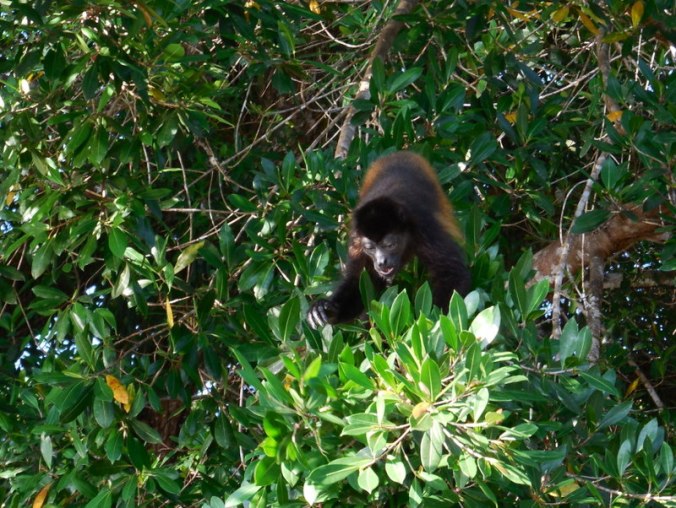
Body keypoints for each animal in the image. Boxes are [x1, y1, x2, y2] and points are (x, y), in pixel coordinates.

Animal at [308, 151, 471, 328]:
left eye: (390, 245)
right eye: (370, 248)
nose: (381, 262)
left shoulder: (425, 227)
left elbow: (451, 272)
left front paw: (435, 323)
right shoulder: (357, 238)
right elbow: (358, 282)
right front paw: (327, 309)